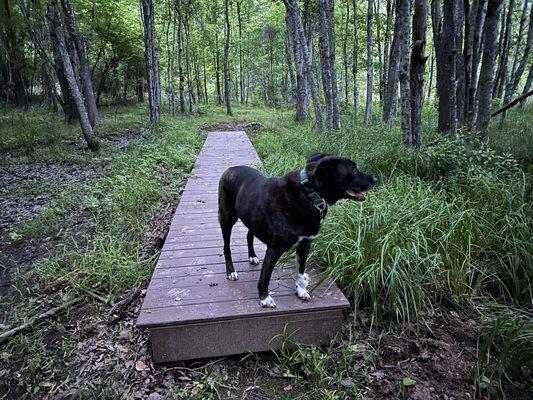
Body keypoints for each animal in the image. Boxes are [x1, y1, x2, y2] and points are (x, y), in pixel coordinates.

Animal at [216, 152, 374, 306]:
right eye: (354, 170)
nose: (375, 179)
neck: (309, 193)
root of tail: (230, 169)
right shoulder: (275, 249)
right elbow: (265, 277)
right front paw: (264, 298)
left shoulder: (305, 244)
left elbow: (300, 270)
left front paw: (301, 290)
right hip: (227, 218)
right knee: (226, 247)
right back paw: (231, 271)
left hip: (251, 218)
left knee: (249, 234)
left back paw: (252, 256)